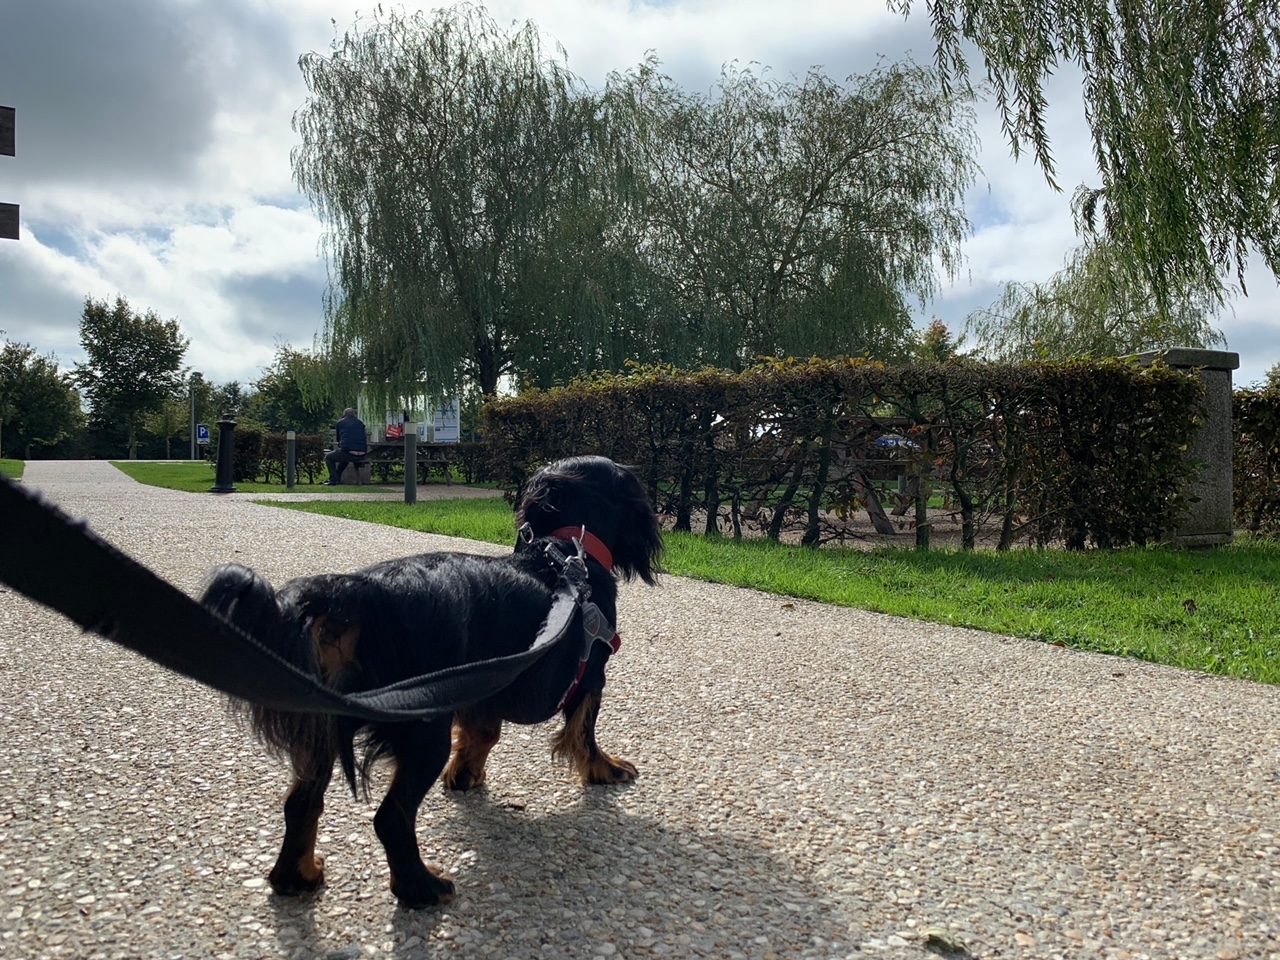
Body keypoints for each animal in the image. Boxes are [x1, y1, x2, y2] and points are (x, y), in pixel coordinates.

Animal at [202, 458, 660, 911]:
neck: (564, 555)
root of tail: (353, 592)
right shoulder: (591, 676)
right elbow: (584, 733)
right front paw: (605, 769)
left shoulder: (482, 682)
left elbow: (483, 734)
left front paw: (466, 774)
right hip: (423, 730)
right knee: (390, 817)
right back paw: (421, 887)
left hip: (328, 725)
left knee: (301, 804)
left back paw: (297, 876)